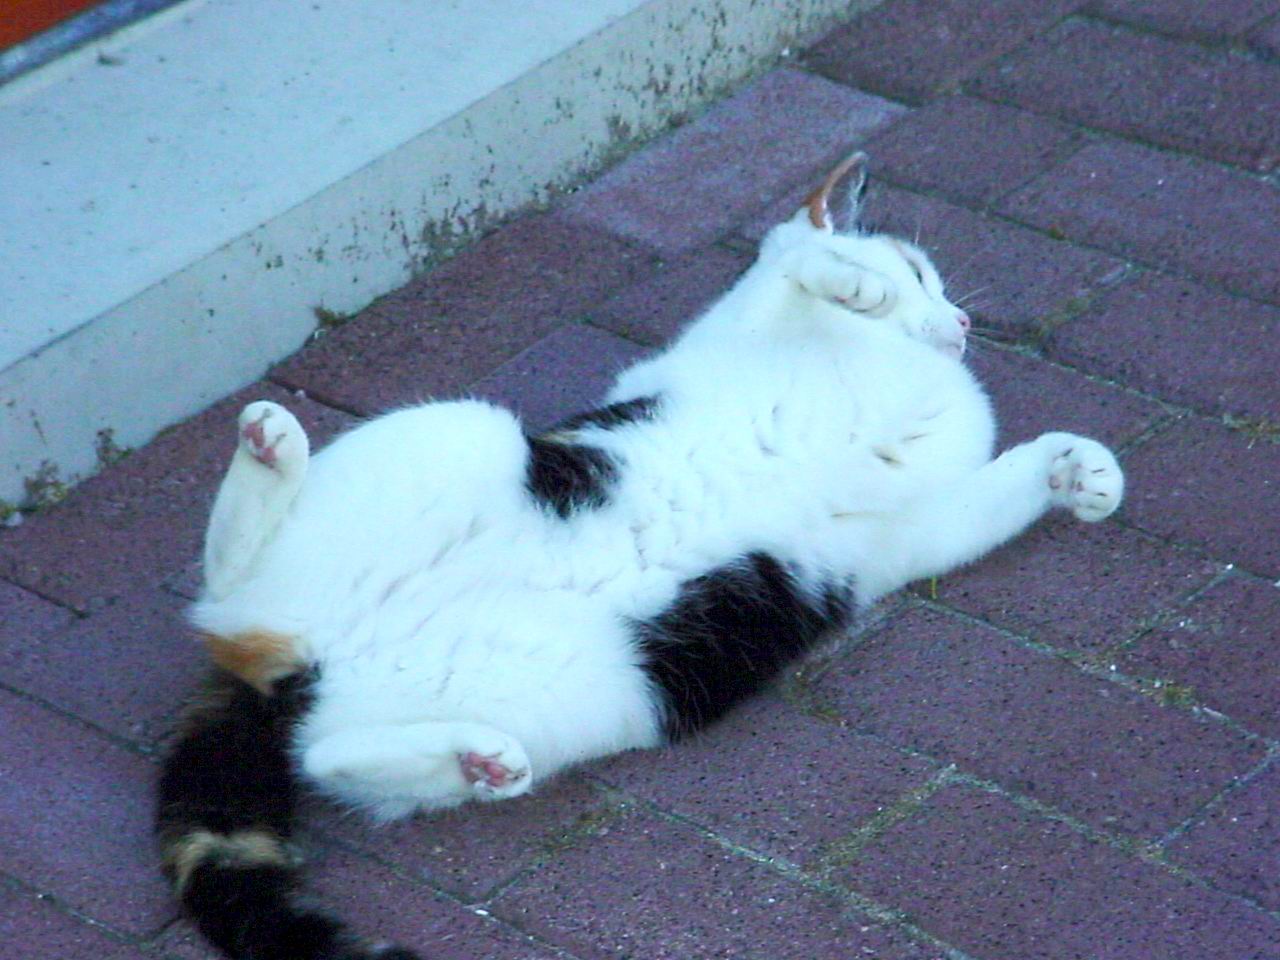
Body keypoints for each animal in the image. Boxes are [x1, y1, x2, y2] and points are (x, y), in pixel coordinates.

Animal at [156, 152, 1124, 960]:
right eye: (920, 271)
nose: (960, 318)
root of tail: (309, 656)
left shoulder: (915, 530)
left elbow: (998, 492)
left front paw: (1081, 473)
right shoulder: (745, 319)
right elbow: (795, 263)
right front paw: (855, 285)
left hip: (590, 684)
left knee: (324, 750)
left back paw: (479, 760)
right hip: (462, 433)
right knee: (225, 595)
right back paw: (271, 450)